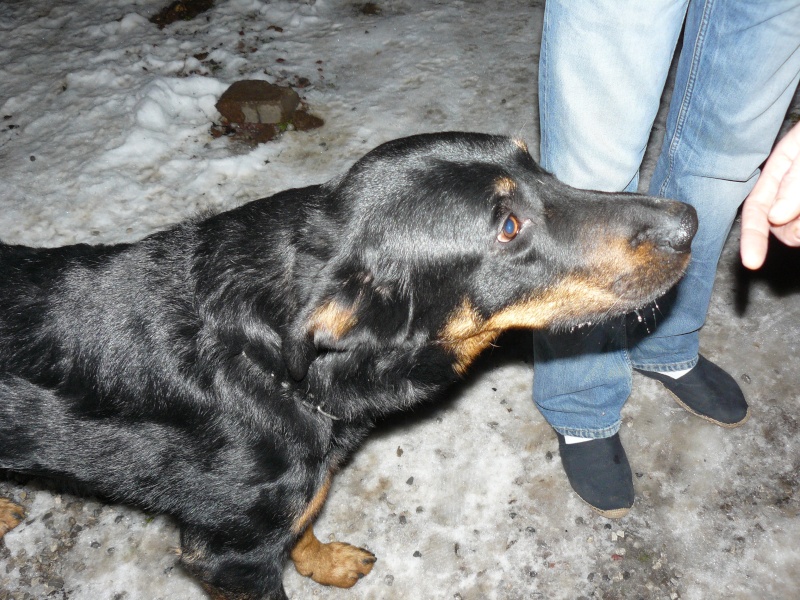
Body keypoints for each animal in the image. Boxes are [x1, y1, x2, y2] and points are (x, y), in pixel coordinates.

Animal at [0, 134, 692, 596]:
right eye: (508, 227)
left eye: (535, 162)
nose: (689, 223)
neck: (279, 363)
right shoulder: (229, 555)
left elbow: (307, 519)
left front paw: (323, 561)